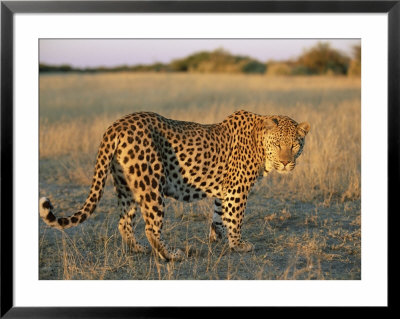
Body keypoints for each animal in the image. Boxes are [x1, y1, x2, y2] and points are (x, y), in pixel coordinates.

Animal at [39, 110, 310, 262]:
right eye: (278, 145)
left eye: (295, 145)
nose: (286, 163)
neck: (259, 144)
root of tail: (116, 125)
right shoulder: (237, 190)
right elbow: (235, 218)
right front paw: (238, 245)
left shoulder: (224, 191)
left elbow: (219, 216)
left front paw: (216, 238)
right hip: (151, 184)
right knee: (151, 227)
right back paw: (170, 255)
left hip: (127, 186)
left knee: (124, 221)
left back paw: (137, 249)